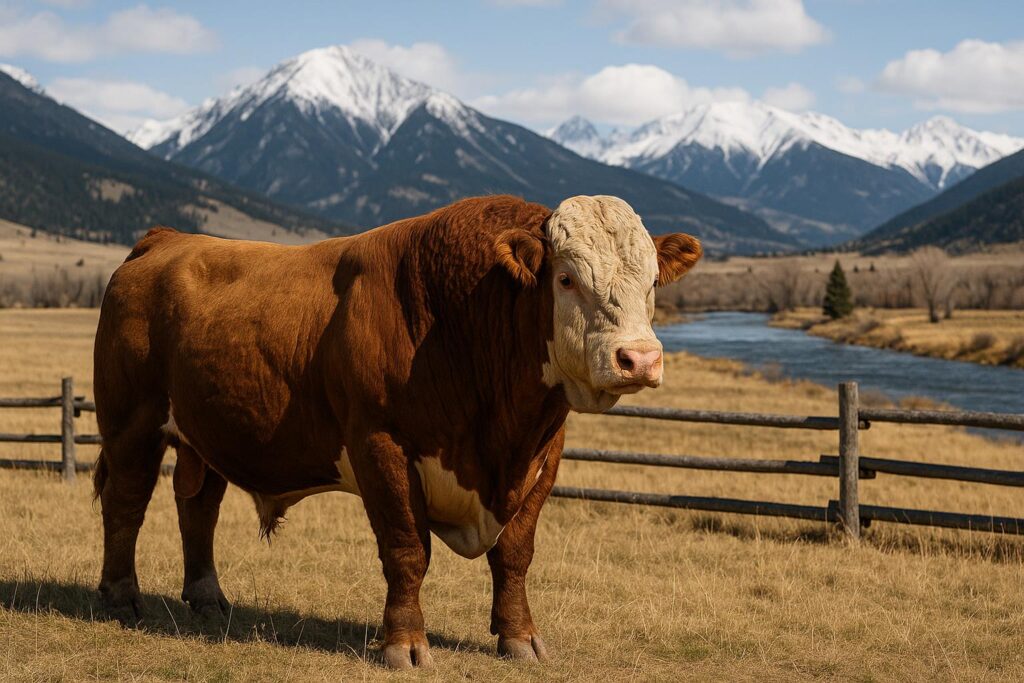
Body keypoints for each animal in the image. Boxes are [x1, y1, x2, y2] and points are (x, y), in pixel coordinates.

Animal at [92, 194, 702, 669]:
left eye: (652, 282)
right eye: (567, 278)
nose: (640, 359)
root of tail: (165, 239)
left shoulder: (543, 456)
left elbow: (515, 554)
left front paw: (520, 639)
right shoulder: (381, 446)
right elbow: (407, 550)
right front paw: (403, 645)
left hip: (206, 431)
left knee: (198, 506)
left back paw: (208, 599)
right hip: (130, 424)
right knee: (126, 502)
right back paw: (120, 597)